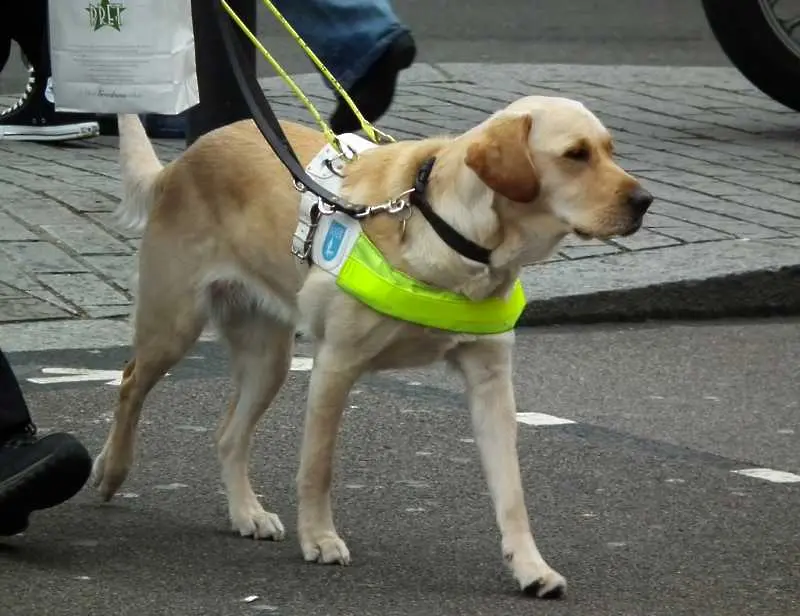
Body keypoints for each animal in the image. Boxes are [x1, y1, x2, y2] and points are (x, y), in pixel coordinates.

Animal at [94, 96, 652, 596]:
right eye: (575, 154)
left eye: (609, 149)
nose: (645, 202)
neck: (450, 233)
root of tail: (184, 160)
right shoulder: (335, 366)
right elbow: (318, 467)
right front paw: (319, 538)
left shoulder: (491, 382)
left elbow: (511, 491)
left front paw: (531, 567)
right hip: (174, 325)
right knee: (130, 384)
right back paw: (111, 469)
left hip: (268, 358)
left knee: (228, 434)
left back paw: (246, 512)